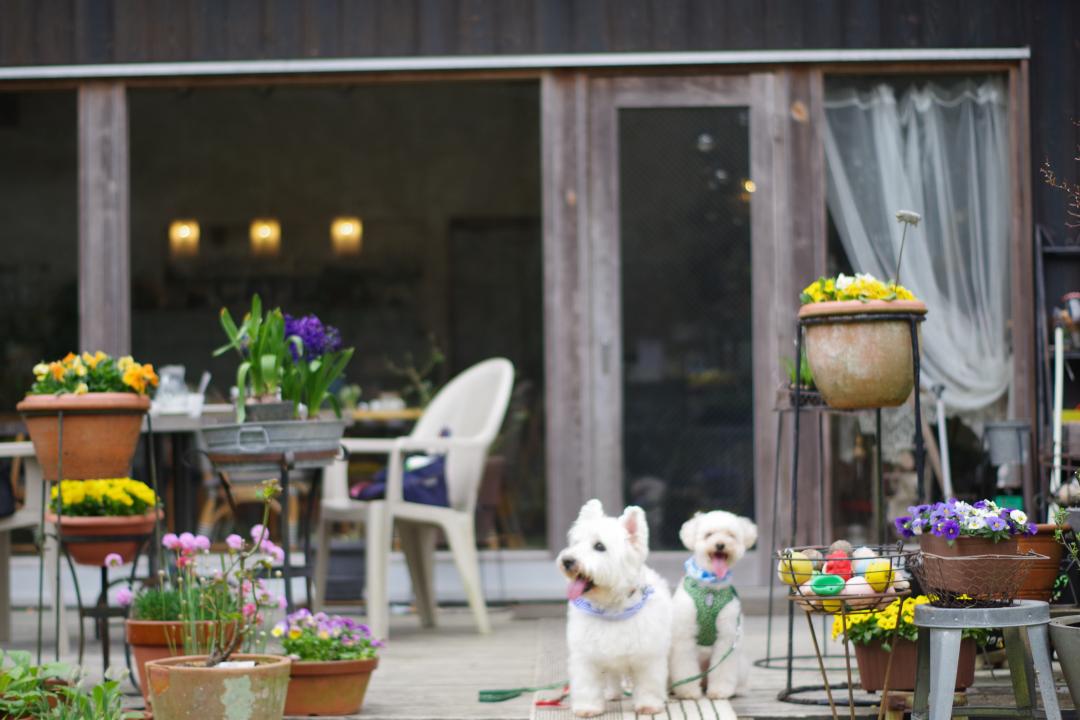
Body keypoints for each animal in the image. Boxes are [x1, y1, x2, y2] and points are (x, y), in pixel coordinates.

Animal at [557, 500, 673, 716]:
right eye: (576, 543)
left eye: (599, 546)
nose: (567, 561)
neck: (612, 607)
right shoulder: (586, 656)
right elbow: (587, 685)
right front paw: (588, 708)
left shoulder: (648, 657)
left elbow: (648, 684)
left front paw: (649, 705)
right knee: (612, 676)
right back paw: (612, 694)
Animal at [665, 509, 760, 699]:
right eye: (708, 535)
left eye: (731, 535)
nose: (720, 544)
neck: (710, 589)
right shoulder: (684, 636)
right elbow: (685, 667)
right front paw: (688, 691)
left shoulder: (727, 636)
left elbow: (723, 669)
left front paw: (720, 691)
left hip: (741, 664)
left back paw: (739, 689)